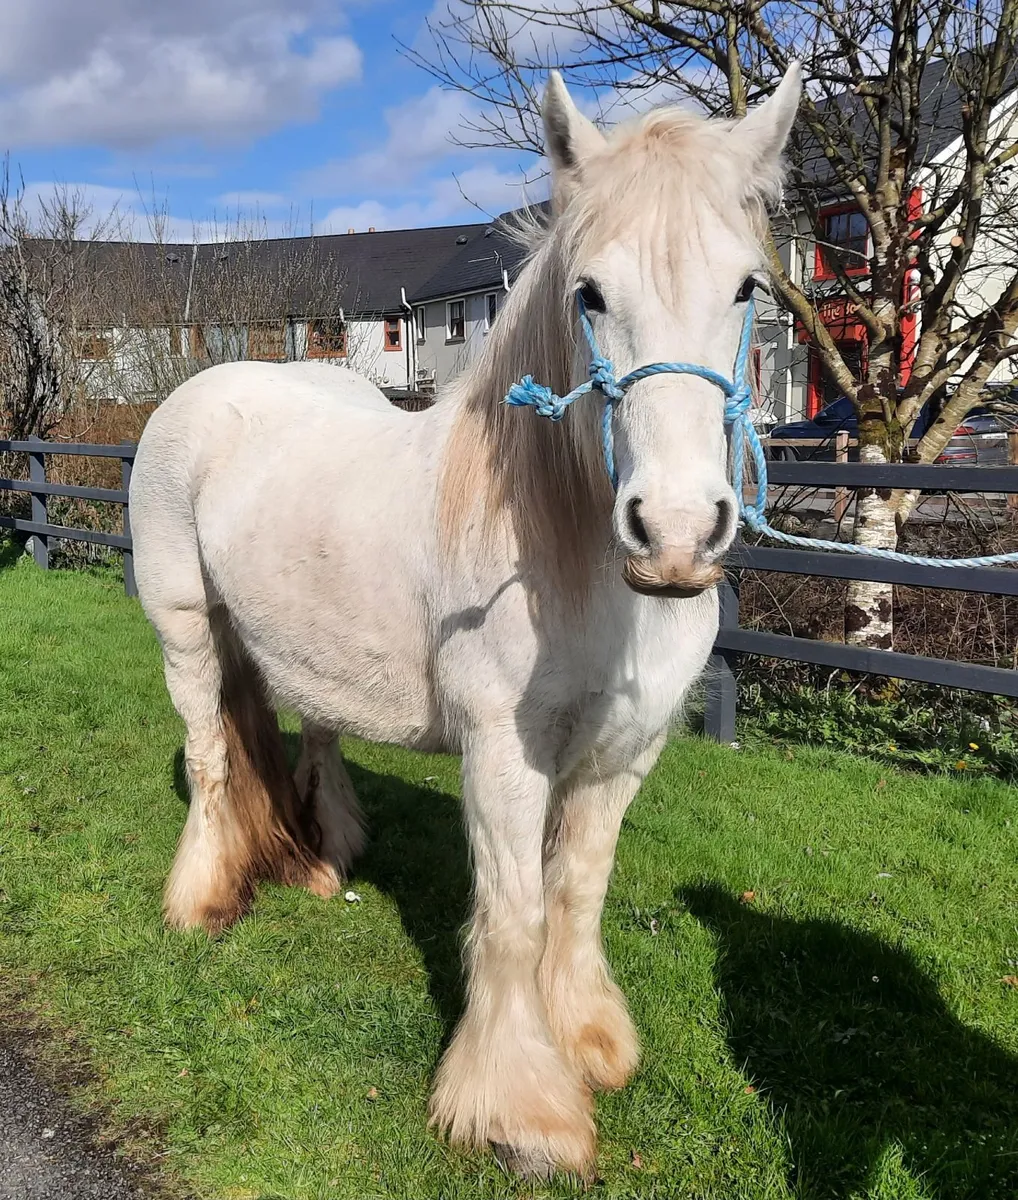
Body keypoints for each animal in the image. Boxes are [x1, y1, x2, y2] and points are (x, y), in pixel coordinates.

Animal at [129, 66, 801, 1180]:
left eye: (748, 287)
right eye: (589, 293)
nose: (671, 533)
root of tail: (209, 386)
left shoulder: (625, 754)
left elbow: (576, 892)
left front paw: (590, 1042)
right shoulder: (504, 756)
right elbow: (516, 914)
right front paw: (521, 1112)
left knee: (307, 730)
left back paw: (320, 861)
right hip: (185, 626)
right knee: (212, 753)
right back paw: (201, 901)